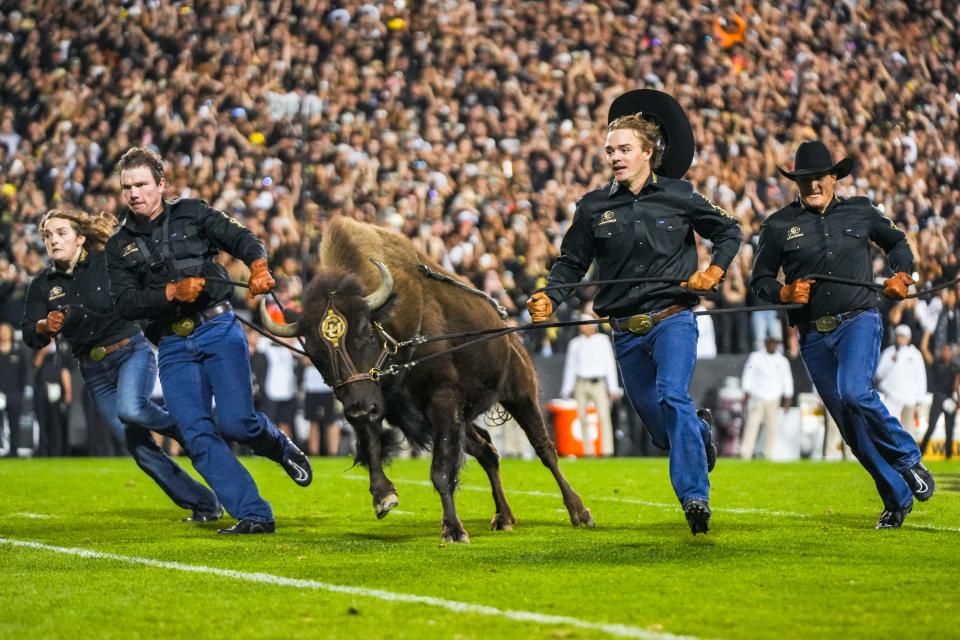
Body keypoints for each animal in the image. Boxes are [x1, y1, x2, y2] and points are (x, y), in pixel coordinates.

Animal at [262, 215, 592, 540]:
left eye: (366, 332)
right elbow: (372, 448)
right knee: (488, 452)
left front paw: (453, 530)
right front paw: (384, 498)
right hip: (466, 418)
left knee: (544, 449)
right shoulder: (379, 406)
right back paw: (504, 517)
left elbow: (441, 469)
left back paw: (579, 513)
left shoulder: (441, 401)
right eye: (315, 353)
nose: (358, 408)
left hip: (520, 394)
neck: (394, 328)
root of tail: (508, 331)